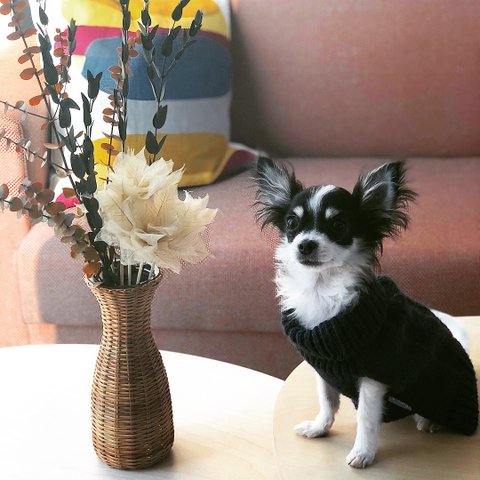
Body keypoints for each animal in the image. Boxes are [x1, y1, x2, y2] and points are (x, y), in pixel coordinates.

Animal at [253, 157, 478, 468]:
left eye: (339, 225)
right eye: (291, 223)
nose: (305, 244)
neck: (321, 288)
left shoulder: (373, 379)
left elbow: (366, 418)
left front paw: (363, 453)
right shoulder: (324, 371)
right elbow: (327, 401)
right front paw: (319, 428)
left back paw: (429, 420)